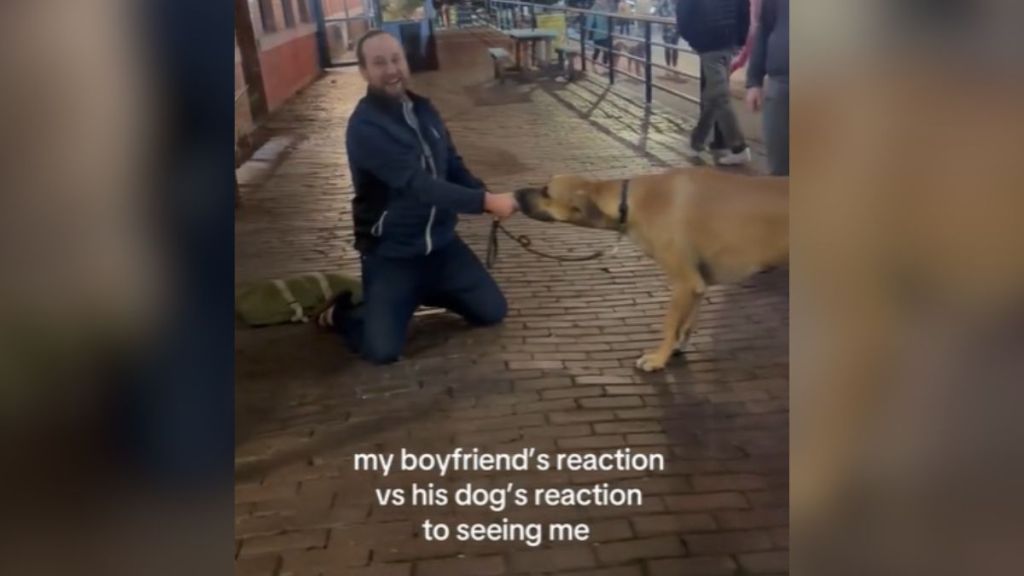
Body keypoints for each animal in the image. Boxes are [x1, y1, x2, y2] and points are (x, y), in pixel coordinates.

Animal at [516, 168, 786, 368]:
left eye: (546, 191)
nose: (516, 192)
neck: (628, 202)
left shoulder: (684, 283)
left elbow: (669, 325)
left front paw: (658, 359)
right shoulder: (699, 285)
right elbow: (686, 323)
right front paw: (678, 346)